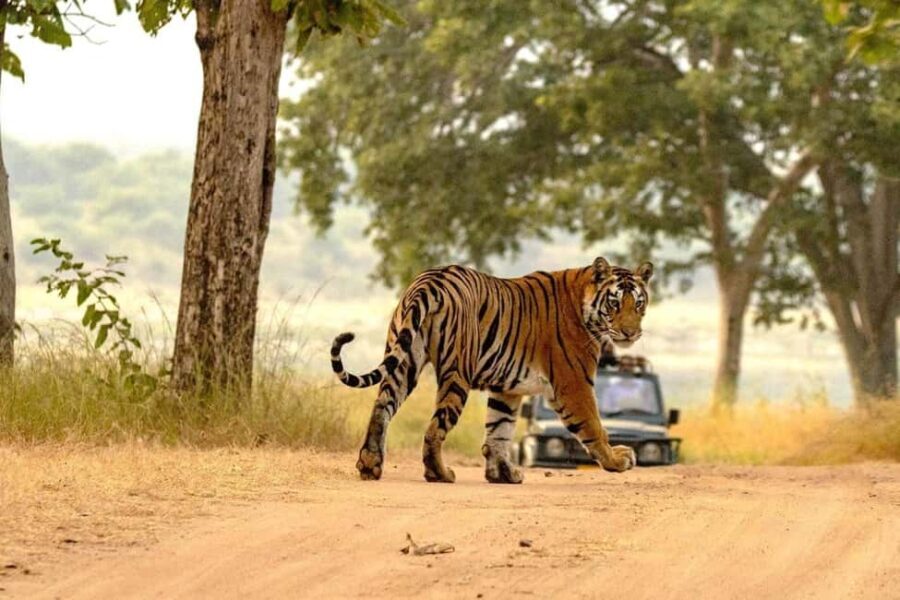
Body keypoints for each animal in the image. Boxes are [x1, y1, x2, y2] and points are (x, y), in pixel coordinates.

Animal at [330, 257, 653, 483]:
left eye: (638, 304)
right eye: (614, 303)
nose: (630, 333)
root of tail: (430, 281)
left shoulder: (508, 387)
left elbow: (499, 429)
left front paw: (503, 474)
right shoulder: (573, 384)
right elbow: (594, 426)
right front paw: (617, 461)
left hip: (404, 360)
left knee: (381, 407)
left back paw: (370, 464)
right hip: (457, 373)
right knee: (435, 428)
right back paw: (440, 473)